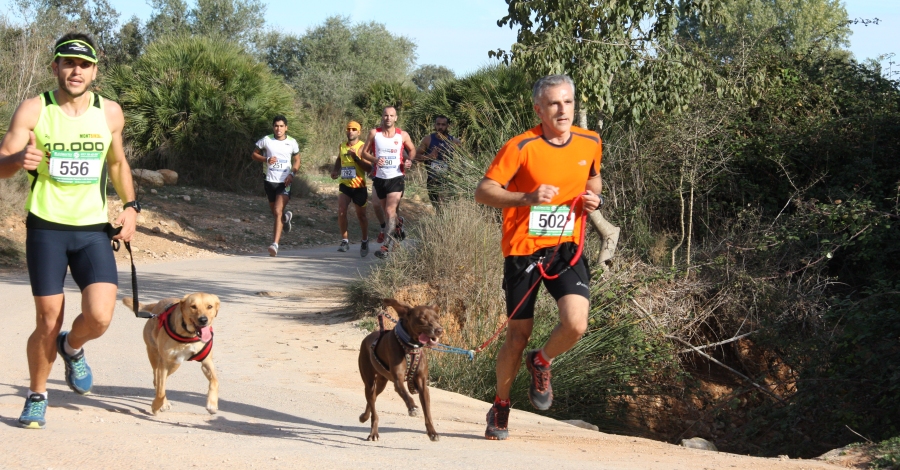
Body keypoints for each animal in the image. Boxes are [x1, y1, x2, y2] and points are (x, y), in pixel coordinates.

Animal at [356, 298, 444, 440]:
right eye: (423, 318)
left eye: (437, 317)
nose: (439, 330)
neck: (410, 346)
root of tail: (367, 338)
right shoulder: (398, 380)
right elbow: (406, 394)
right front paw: (412, 407)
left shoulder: (422, 384)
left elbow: (428, 412)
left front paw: (432, 432)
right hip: (368, 380)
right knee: (372, 401)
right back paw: (373, 432)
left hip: (381, 381)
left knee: (373, 397)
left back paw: (364, 417)